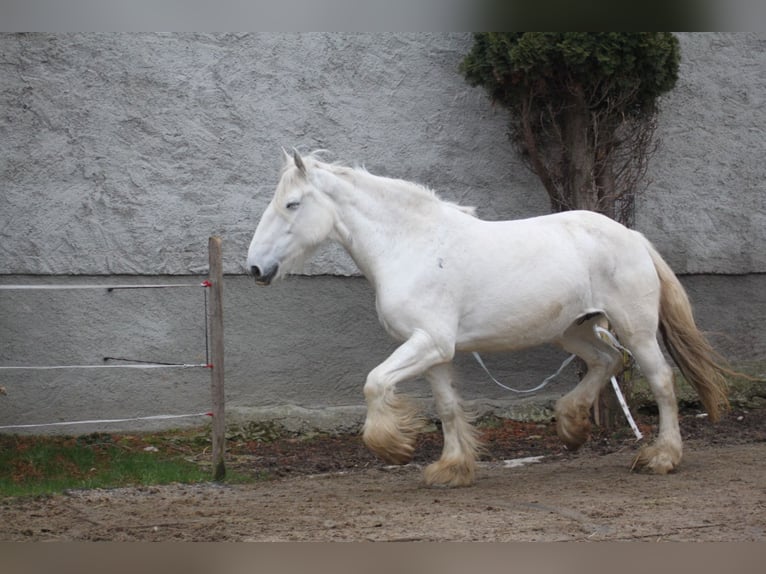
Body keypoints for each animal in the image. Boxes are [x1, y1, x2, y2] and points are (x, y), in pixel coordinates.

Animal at [246, 149, 731, 487]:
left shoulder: (429, 343)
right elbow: (446, 406)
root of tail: (632, 235)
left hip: (636, 328)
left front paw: (395, 449)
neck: (411, 244)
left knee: (661, 380)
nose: (254, 268)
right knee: (606, 361)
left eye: (292, 204)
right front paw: (452, 468)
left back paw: (662, 458)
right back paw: (571, 426)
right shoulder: (434, 350)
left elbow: (375, 383)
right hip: (571, 331)